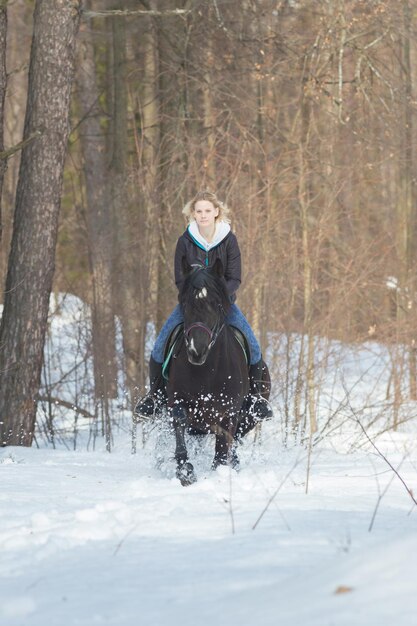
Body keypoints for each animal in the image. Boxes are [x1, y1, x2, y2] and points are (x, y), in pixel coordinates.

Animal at [166, 258, 270, 482]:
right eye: (185, 304)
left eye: (216, 304)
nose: (197, 350)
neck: (206, 372)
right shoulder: (177, 402)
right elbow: (179, 424)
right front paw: (185, 471)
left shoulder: (228, 412)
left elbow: (223, 446)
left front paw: (220, 472)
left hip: (251, 416)